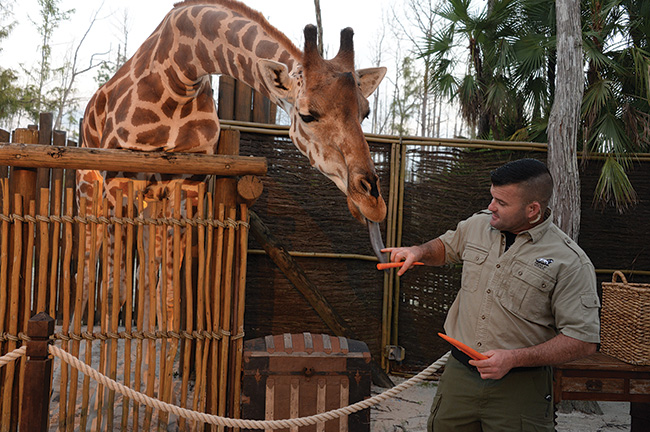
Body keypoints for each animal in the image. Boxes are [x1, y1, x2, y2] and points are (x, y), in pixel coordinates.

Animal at [77, 0, 388, 328]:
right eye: (307, 115)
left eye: (365, 112)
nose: (373, 202)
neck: (180, 75)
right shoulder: (118, 179)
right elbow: (113, 291)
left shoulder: (188, 185)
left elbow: (168, 294)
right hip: (90, 185)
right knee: (85, 273)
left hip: (152, 200)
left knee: (148, 276)